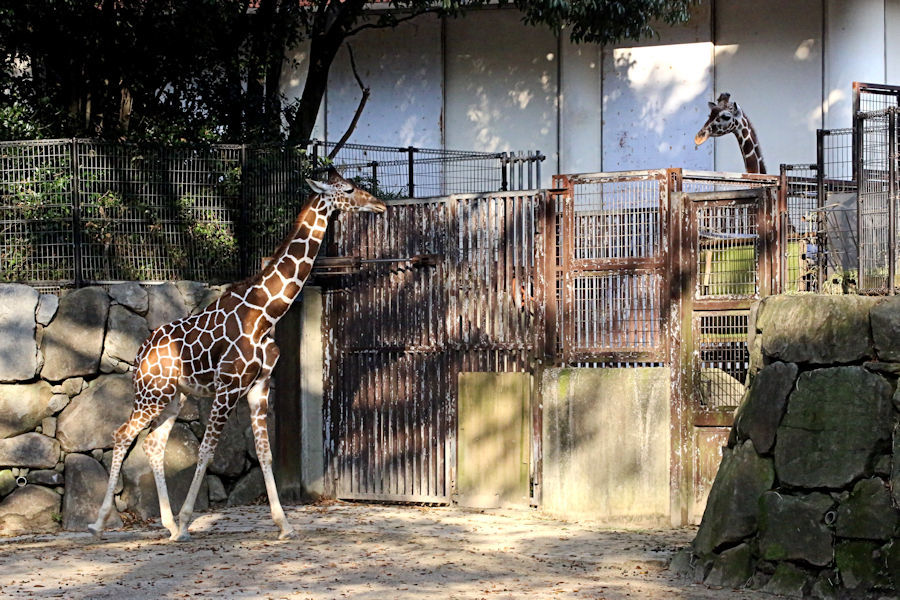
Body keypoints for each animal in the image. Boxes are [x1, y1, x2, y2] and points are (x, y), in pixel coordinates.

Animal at [89, 168, 384, 540]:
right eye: (347, 189)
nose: (380, 205)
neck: (266, 313)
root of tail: (140, 352)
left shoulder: (259, 386)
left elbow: (264, 453)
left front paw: (284, 524)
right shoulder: (228, 387)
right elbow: (206, 450)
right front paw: (187, 521)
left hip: (174, 397)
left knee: (153, 443)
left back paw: (166, 524)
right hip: (151, 393)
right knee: (122, 434)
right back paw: (100, 523)